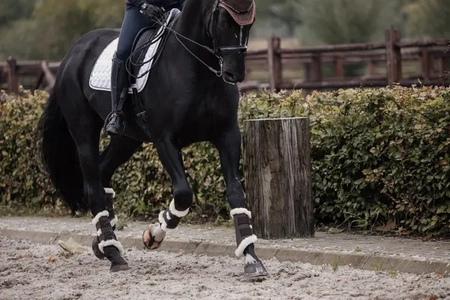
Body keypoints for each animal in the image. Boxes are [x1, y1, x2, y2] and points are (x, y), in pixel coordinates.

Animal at [37, 0, 268, 278]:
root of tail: (73, 52)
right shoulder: (165, 139)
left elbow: (236, 193)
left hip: (127, 139)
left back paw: (103, 242)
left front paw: (251, 258)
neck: (195, 66)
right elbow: (183, 194)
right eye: (223, 20)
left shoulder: (228, 135)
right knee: (92, 186)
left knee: (102, 173)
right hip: (83, 134)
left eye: (251, 22)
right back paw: (113, 253)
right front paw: (153, 234)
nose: (235, 74)